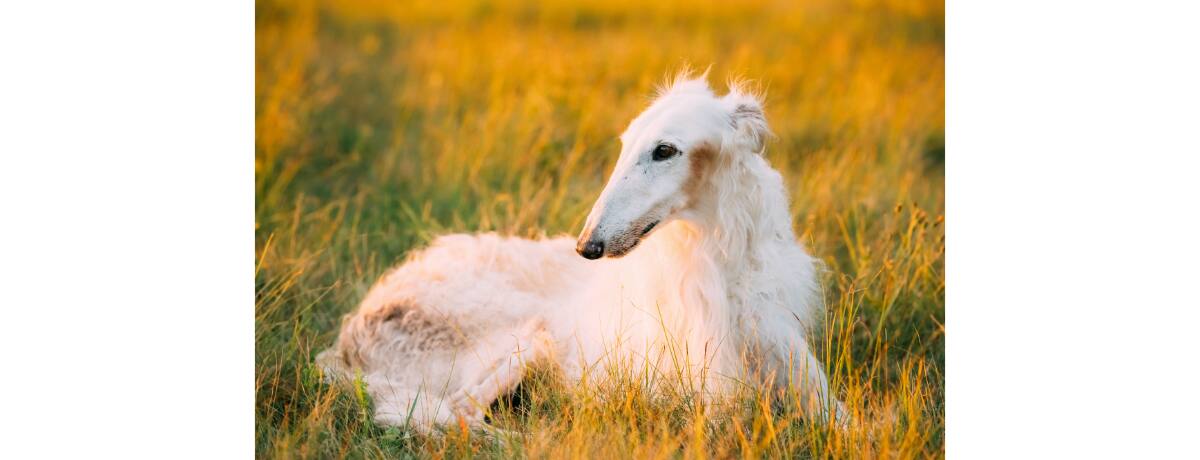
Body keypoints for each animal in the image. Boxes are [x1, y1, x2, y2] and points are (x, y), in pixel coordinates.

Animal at [316, 73, 844, 429]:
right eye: (625, 145)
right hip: (522, 338)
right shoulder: (703, 391)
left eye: (665, 150)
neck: (717, 259)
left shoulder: (781, 342)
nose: (586, 246)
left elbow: (845, 421)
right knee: (450, 415)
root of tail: (349, 337)